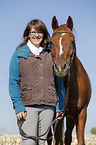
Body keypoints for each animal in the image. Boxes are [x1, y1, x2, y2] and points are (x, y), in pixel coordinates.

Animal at [48, 15, 91, 144]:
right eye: (51, 42)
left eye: (72, 41)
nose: (60, 68)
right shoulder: (58, 116)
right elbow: (58, 140)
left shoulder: (81, 113)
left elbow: (79, 140)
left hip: (70, 117)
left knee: (67, 136)